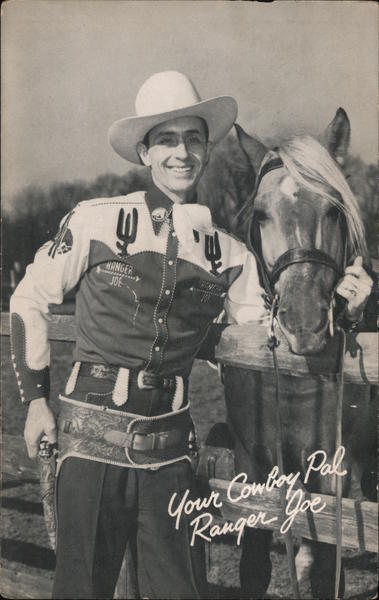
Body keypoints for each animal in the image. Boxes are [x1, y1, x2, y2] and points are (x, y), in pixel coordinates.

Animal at [223, 109, 378, 600]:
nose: (305, 322)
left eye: (333, 209)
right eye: (260, 214)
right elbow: (255, 562)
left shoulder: (333, 467)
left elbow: (330, 563)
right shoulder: (251, 459)